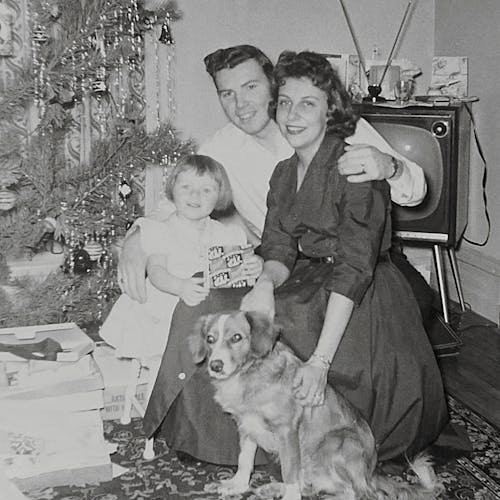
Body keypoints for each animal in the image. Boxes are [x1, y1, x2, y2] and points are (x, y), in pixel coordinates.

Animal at [189, 310, 444, 498]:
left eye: (237, 337)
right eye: (210, 339)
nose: (215, 365)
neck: (250, 373)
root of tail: (371, 473)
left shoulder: (287, 430)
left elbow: (290, 471)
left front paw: (288, 496)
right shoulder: (247, 425)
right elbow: (245, 461)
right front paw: (238, 486)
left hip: (336, 443)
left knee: (362, 494)